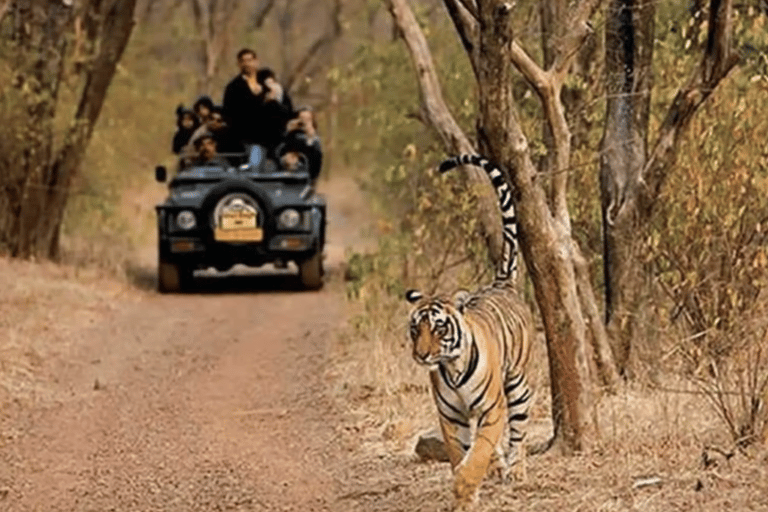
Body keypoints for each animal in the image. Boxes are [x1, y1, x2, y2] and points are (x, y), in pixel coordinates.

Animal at [405, 154, 534, 510]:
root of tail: (501, 283)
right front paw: (464, 494)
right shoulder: (451, 417)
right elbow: (459, 453)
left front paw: (467, 484)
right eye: (415, 328)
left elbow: (477, 453)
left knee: (519, 431)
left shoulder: (492, 408)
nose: (422, 355)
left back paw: (516, 470)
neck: (452, 367)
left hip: (517, 383)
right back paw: (500, 466)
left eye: (438, 327)